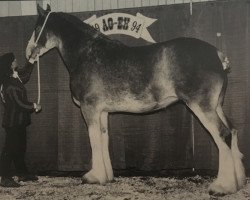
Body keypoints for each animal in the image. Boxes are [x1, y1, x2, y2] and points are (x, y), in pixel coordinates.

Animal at [25, 4, 246, 195]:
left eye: (36, 28)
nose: (28, 53)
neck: (87, 53)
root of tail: (216, 54)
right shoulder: (102, 112)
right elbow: (103, 139)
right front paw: (107, 176)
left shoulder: (90, 108)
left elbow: (94, 140)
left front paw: (93, 177)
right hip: (216, 105)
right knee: (233, 131)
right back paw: (238, 183)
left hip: (201, 105)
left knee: (223, 134)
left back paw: (221, 187)